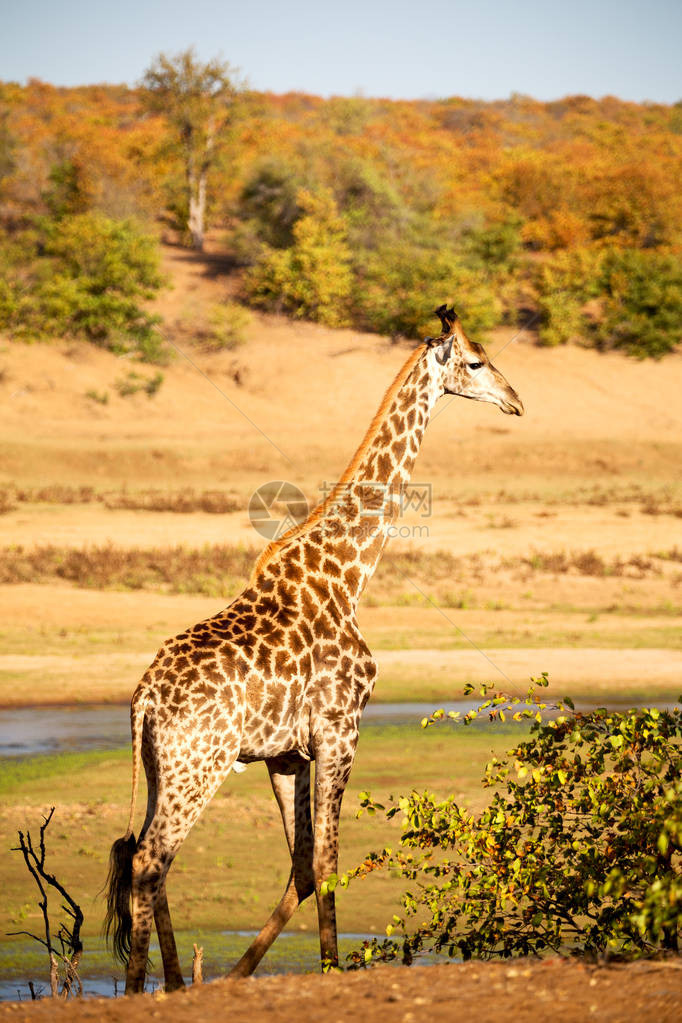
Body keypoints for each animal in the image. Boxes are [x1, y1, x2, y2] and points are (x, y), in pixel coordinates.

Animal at [105, 302, 523, 990]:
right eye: (477, 360)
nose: (515, 400)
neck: (350, 576)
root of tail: (143, 701)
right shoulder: (340, 726)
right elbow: (327, 862)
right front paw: (330, 969)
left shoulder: (284, 755)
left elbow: (302, 867)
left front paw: (239, 974)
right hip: (201, 765)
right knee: (150, 859)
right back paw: (145, 988)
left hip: (166, 767)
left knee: (147, 857)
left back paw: (174, 980)